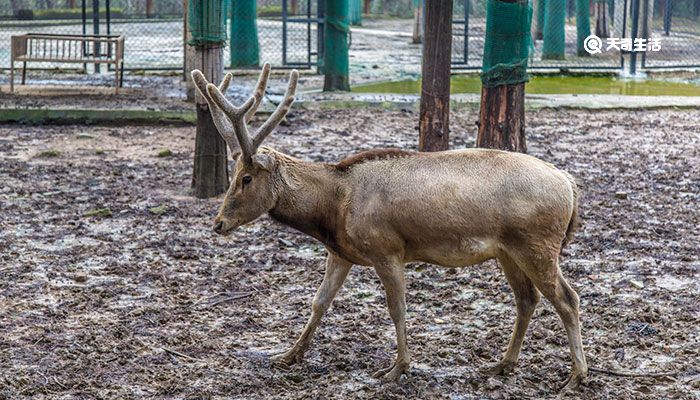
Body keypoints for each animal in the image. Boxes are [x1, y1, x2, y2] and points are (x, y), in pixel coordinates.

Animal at [189, 65, 588, 390]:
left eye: (246, 178)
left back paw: (575, 376)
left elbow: (397, 307)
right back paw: (503, 364)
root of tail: (569, 185)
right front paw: (288, 355)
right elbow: (319, 302)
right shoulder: (340, 252)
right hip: (508, 250)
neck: (335, 207)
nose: (219, 223)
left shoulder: (387, 249)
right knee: (527, 298)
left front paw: (397, 368)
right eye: (234, 175)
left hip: (537, 243)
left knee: (568, 298)